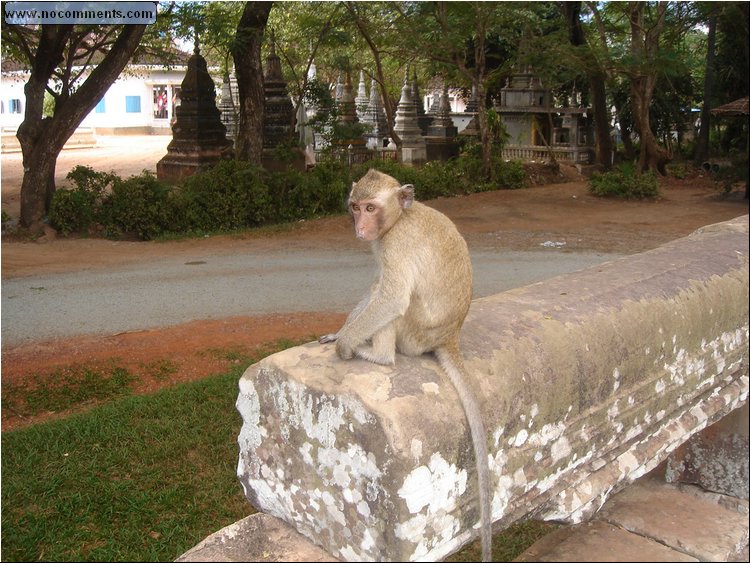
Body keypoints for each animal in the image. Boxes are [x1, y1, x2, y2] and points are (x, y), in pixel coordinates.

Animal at [322, 169, 494, 563]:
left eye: (371, 208)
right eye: (355, 207)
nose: (360, 226)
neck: (401, 218)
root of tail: (449, 337)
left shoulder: (395, 244)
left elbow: (391, 296)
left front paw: (346, 343)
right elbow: (377, 288)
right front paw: (339, 332)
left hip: (414, 334)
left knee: (395, 303)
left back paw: (378, 355)